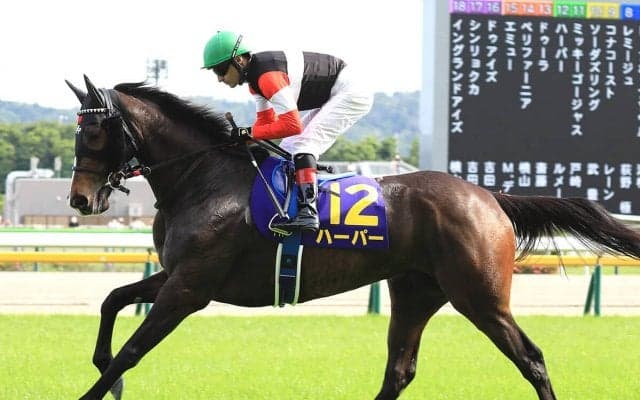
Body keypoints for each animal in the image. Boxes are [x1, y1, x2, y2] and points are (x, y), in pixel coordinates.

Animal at [66, 75, 640, 400]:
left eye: (93, 132)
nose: (79, 200)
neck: (203, 177)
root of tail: (488, 195)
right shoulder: (176, 274)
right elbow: (112, 300)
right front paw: (105, 369)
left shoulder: (190, 288)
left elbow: (132, 348)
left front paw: (105, 381)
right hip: (416, 292)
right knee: (400, 370)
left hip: (479, 295)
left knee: (531, 358)